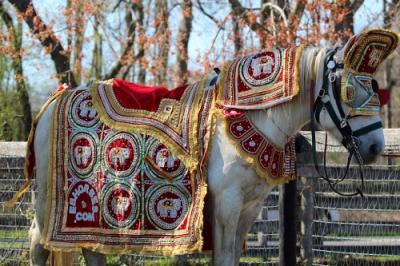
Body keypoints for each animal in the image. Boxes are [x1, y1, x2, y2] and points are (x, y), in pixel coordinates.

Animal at [28, 30, 396, 264]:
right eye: (350, 92)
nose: (375, 146)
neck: (249, 114)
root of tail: (54, 100)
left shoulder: (248, 209)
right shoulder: (226, 205)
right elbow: (222, 259)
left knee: (91, 248)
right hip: (50, 199)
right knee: (38, 244)